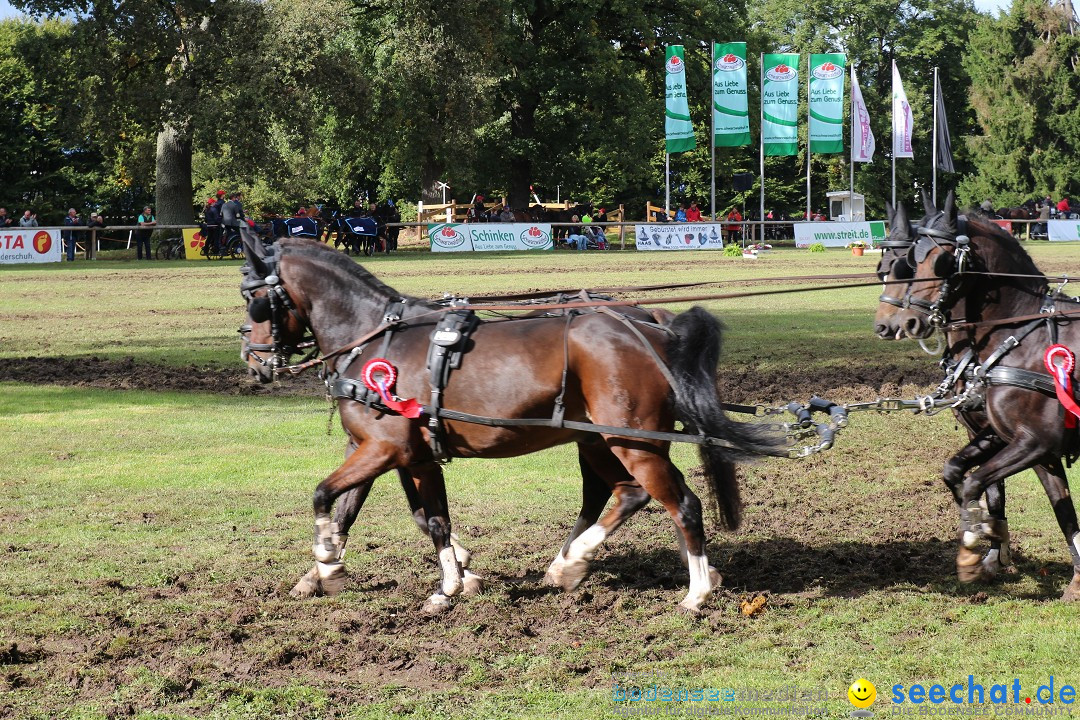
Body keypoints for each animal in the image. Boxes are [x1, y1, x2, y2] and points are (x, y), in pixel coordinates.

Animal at [236, 231, 781, 613]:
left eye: (254, 299)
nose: (254, 362)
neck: (372, 337)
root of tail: (648, 324)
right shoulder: (405, 454)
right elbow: (422, 518)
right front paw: (451, 581)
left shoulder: (384, 449)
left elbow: (325, 496)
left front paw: (330, 564)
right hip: (598, 441)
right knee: (623, 494)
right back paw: (571, 563)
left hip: (632, 442)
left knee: (678, 503)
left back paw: (694, 592)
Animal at [889, 189, 1080, 595]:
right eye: (912, 259)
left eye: (942, 260)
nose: (904, 321)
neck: (1019, 335)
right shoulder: (1017, 442)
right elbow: (964, 475)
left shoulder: (1035, 442)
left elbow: (977, 482)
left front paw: (975, 544)